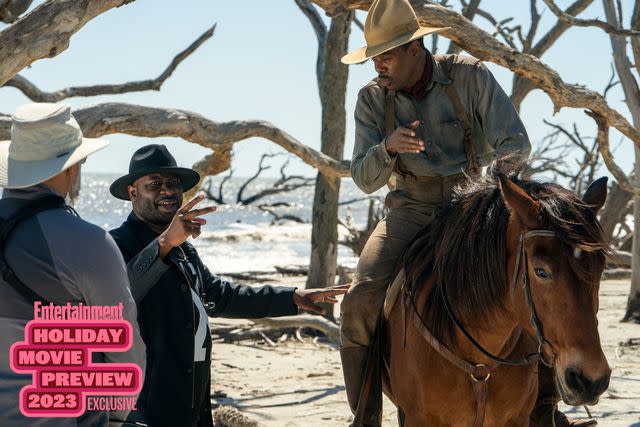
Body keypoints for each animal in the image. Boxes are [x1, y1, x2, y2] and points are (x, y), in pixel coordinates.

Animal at [382, 175, 612, 427]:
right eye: (541, 271)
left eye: (600, 268)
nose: (591, 381)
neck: (479, 363)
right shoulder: (418, 418)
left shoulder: (516, 419)